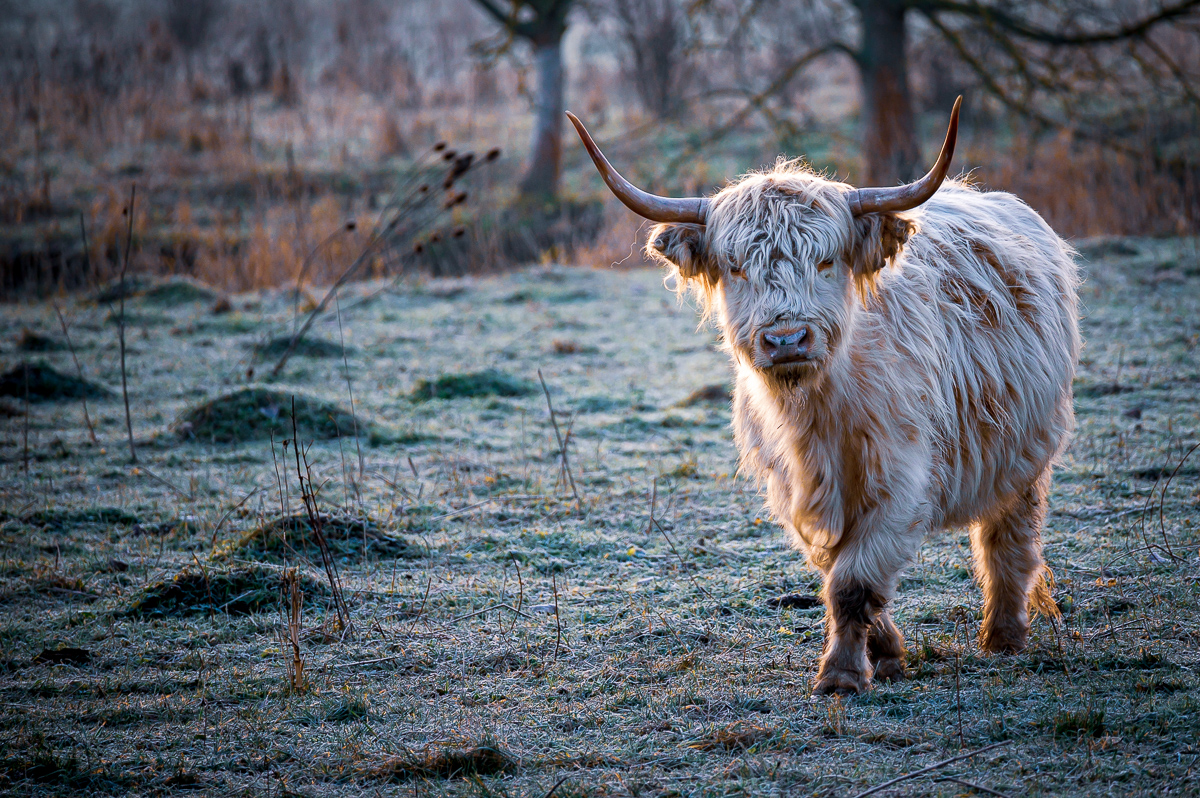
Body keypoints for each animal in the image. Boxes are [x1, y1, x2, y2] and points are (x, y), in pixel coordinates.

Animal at [567, 98, 1079, 695]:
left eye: (827, 260)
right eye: (736, 267)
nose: (787, 339)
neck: (816, 419)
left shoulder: (901, 480)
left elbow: (853, 581)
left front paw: (840, 676)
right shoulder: (795, 490)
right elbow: (839, 571)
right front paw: (885, 653)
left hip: (1026, 452)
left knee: (1008, 540)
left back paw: (1003, 637)